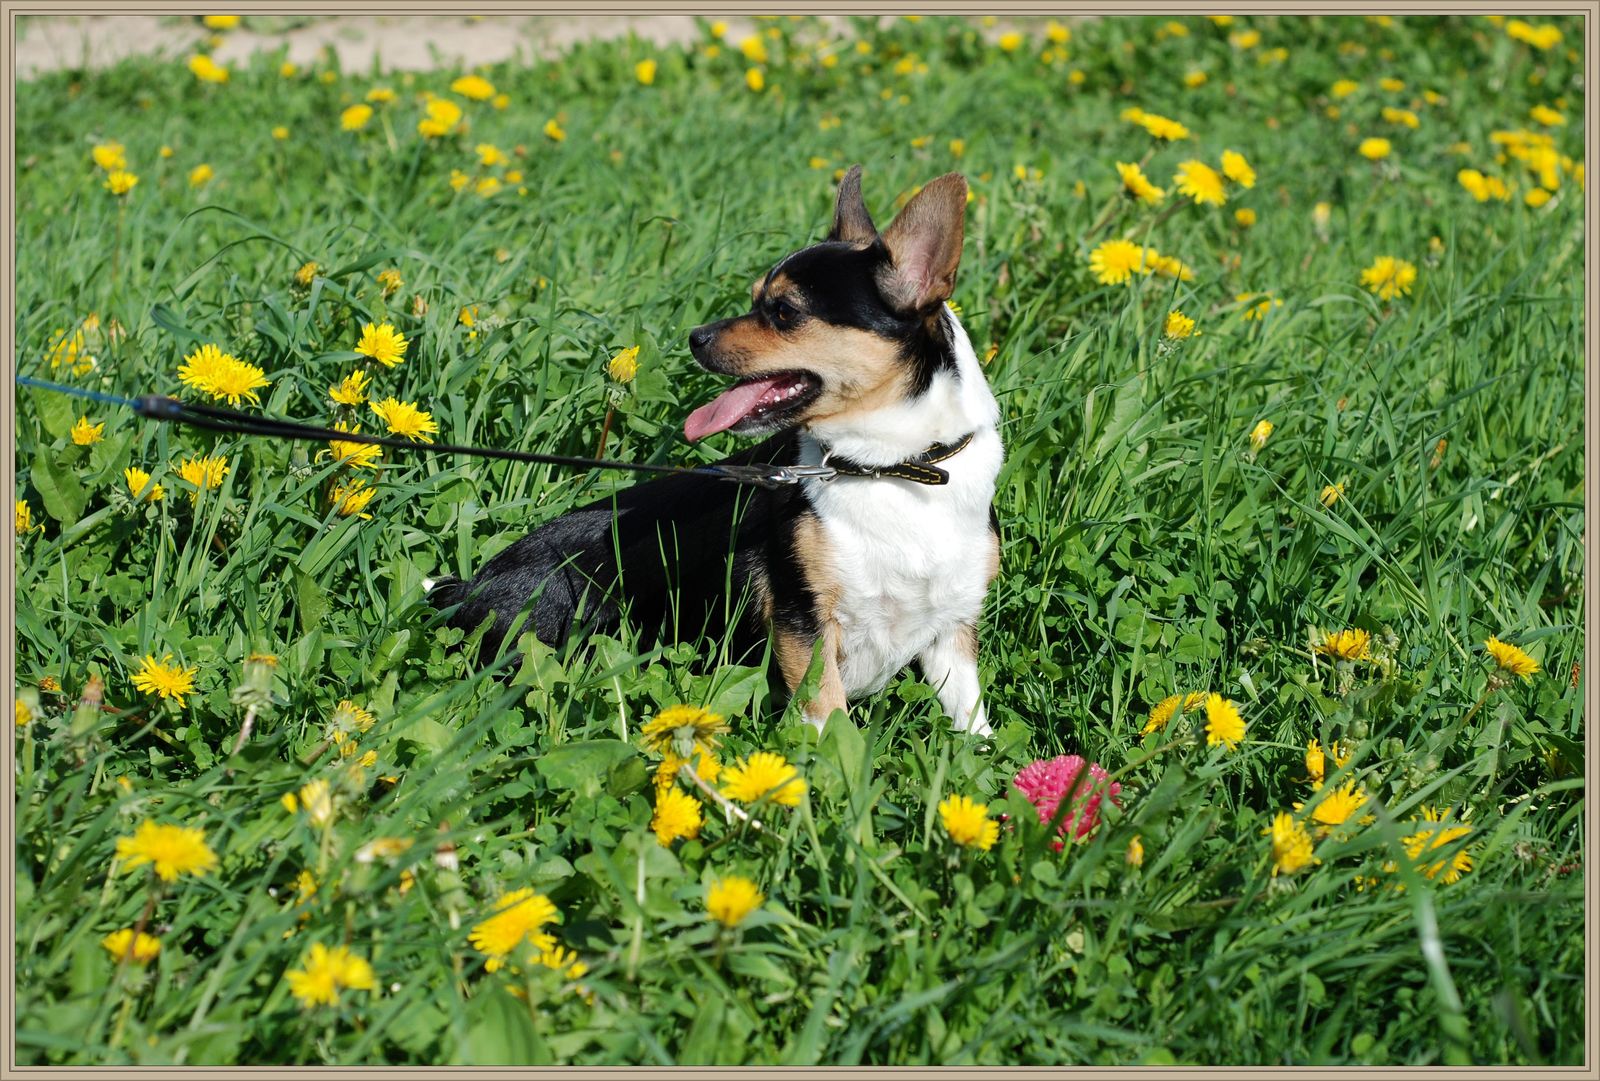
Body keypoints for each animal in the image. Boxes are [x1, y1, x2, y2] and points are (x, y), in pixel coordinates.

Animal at [425, 164, 998, 735]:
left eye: (783, 311)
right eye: (754, 298)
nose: (694, 337)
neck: (889, 469)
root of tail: (464, 590)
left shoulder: (951, 635)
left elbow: (972, 725)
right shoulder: (805, 627)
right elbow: (828, 720)